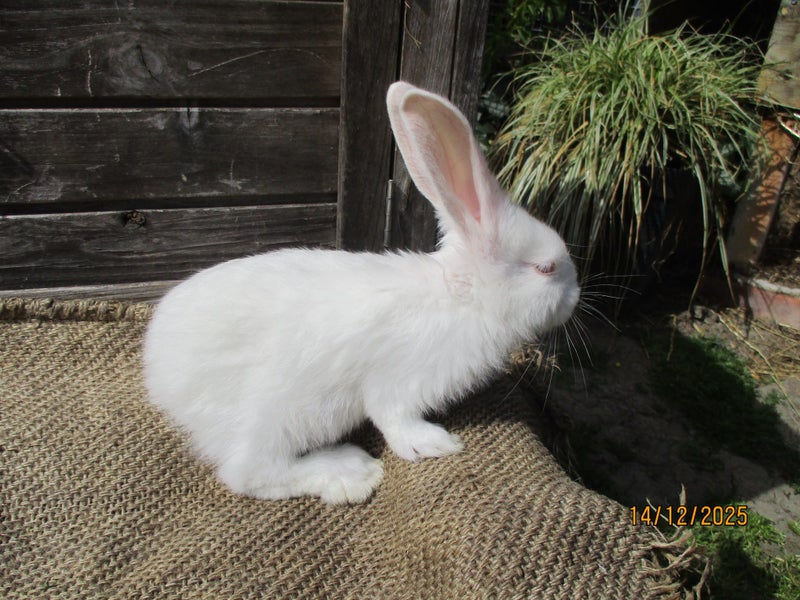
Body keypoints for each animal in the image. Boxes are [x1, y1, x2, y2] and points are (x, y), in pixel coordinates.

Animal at [142, 81, 580, 504]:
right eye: (546, 268)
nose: (576, 295)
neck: (462, 298)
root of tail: (160, 370)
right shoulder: (400, 381)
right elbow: (393, 419)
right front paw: (436, 443)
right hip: (281, 409)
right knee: (249, 471)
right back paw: (349, 473)